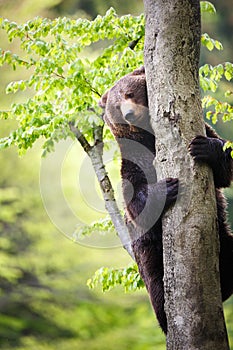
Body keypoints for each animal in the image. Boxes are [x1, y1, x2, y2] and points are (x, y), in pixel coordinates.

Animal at [99, 66, 233, 334]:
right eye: (116, 107)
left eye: (129, 93)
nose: (129, 114)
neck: (150, 137)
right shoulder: (134, 159)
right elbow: (135, 199)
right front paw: (166, 188)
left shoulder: (205, 129)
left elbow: (225, 164)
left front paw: (205, 148)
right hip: (148, 250)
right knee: (156, 284)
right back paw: (165, 315)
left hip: (225, 235)